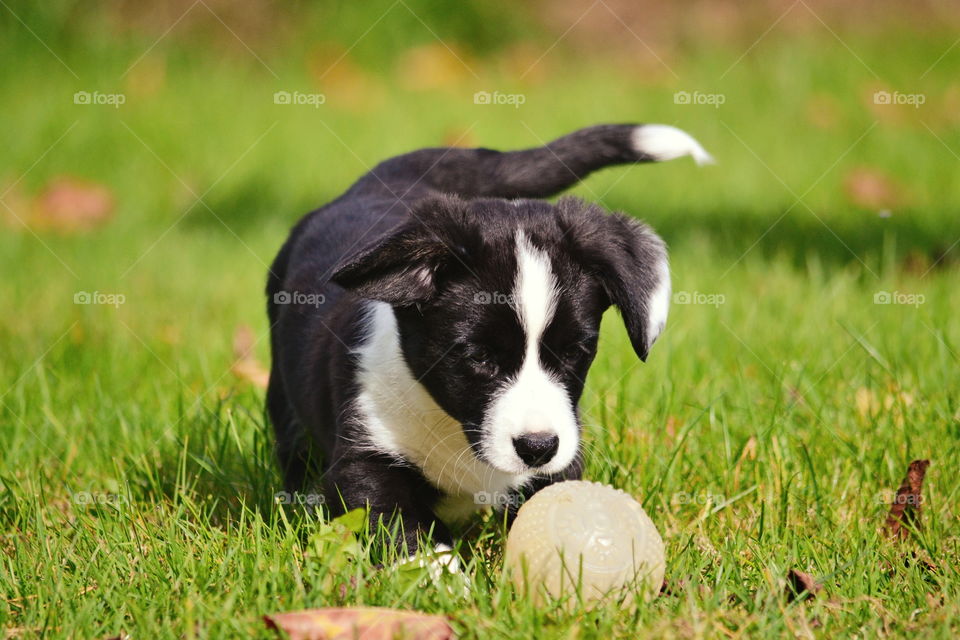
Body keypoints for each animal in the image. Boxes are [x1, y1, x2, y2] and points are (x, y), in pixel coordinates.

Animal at [266, 124, 708, 556]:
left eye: (573, 352)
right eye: (479, 356)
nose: (537, 447)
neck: (453, 426)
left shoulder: (561, 458)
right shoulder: (364, 461)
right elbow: (412, 539)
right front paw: (442, 576)